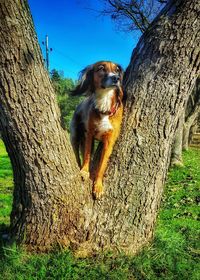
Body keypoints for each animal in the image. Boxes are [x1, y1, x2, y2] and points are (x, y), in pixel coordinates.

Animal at [70, 60, 123, 198]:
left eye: (117, 70)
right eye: (101, 68)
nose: (116, 78)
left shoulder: (109, 142)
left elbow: (102, 166)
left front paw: (98, 186)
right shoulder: (90, 135)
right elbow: (87, 155)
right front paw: (84, 171)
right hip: (75, 135)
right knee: (77, 154)